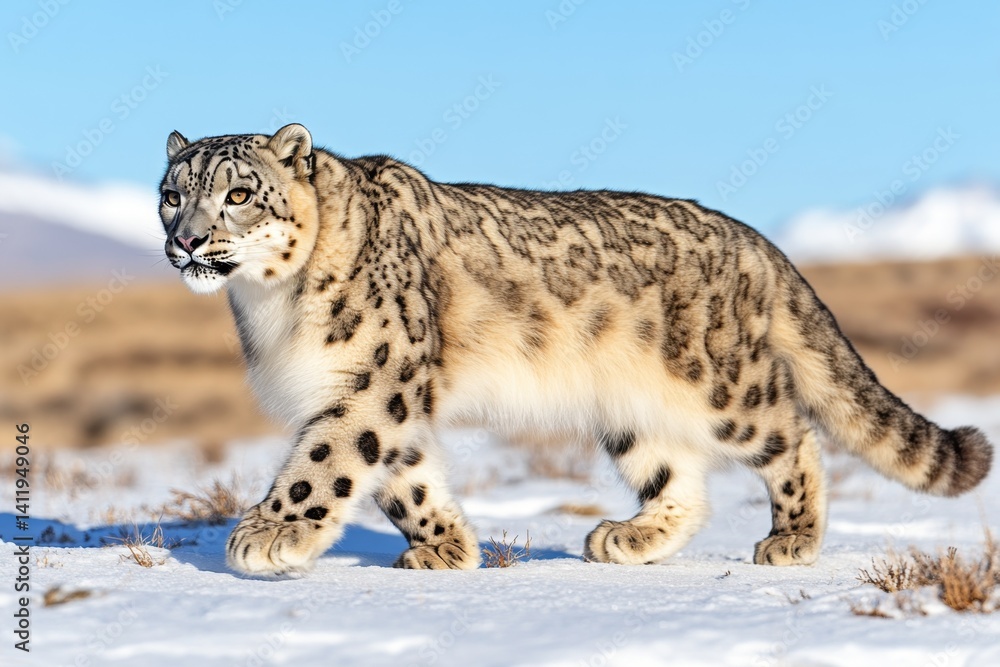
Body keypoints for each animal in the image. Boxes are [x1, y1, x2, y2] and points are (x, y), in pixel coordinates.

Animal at [158, 123, 993, 575]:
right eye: (172, 194)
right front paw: (448, 547)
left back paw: (790, 538)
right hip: (628, 405)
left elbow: (323, 460)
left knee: (795, 437)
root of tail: (752, 238)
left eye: (239, 194)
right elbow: (405, 477)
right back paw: (629, 536)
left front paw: (269, 533)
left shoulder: (374, 380)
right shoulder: (381, 398)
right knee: (679, 478)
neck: (269, 305)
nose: (186, 239)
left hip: (724, 386)